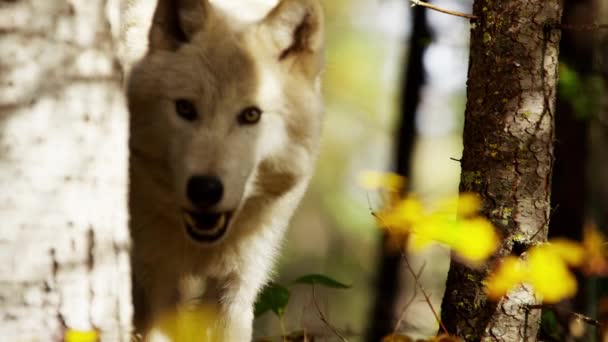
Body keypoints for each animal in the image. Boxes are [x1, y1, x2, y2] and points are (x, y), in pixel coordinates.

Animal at [126, 0, 326, 340]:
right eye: (185, 108)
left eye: (251, 115)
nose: (204, 189)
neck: (199, 246)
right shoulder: (155, 275)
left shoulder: (238, 285)